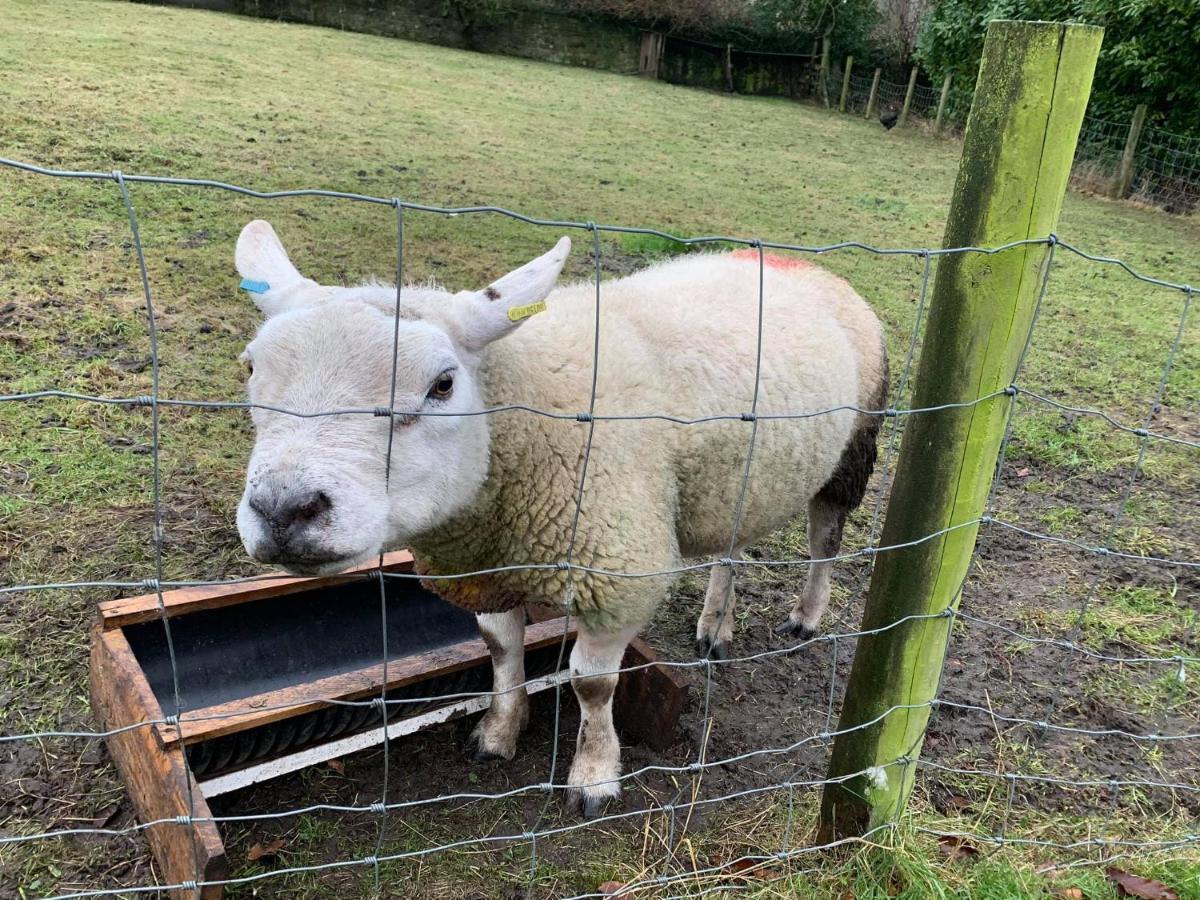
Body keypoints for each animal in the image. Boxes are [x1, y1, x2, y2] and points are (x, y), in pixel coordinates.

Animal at [236, 220, 892, 816]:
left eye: (443, 384)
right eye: (249, 369)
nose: (283, 509)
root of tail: (793, 261)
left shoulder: (618, 575)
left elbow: (591, 684)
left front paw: (594, 775)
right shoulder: (485, 568)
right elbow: (500, 649)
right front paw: (499, 732)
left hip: (854, 447)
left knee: (824, 539)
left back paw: (806, 616)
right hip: (739, 478)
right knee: (732, 548)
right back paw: (715, 626)